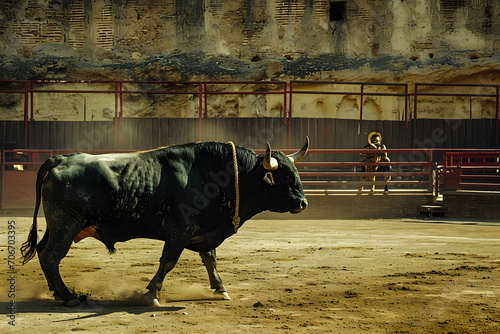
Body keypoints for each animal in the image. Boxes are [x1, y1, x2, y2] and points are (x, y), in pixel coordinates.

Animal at [21, 138, 308, 306]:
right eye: (284, 177)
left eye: (296, 173)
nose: (303, 203)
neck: (214, 175)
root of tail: (60, 158)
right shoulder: (179, 230)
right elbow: (168, 261)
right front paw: (151, 293)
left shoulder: (203, 230)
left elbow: (210, 259)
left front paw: (220, 289)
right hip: (65, 225)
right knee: (51, 256)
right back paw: (68, 296)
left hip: (57, 226)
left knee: (43, 251)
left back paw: (56, 291)